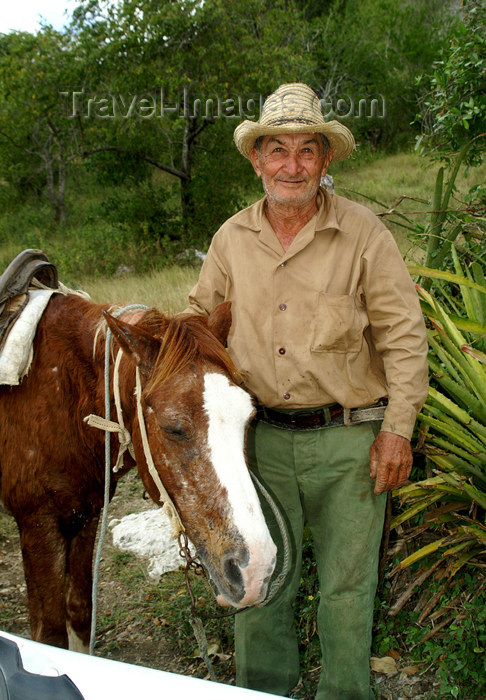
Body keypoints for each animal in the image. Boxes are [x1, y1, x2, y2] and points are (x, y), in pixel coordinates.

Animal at [0, 292, 276, 652]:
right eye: (172, 428)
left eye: (250, 417)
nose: (256, 568)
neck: (61, 393)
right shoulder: (38, 525)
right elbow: (49, 636)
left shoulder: (86, 514)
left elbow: (80, 611)